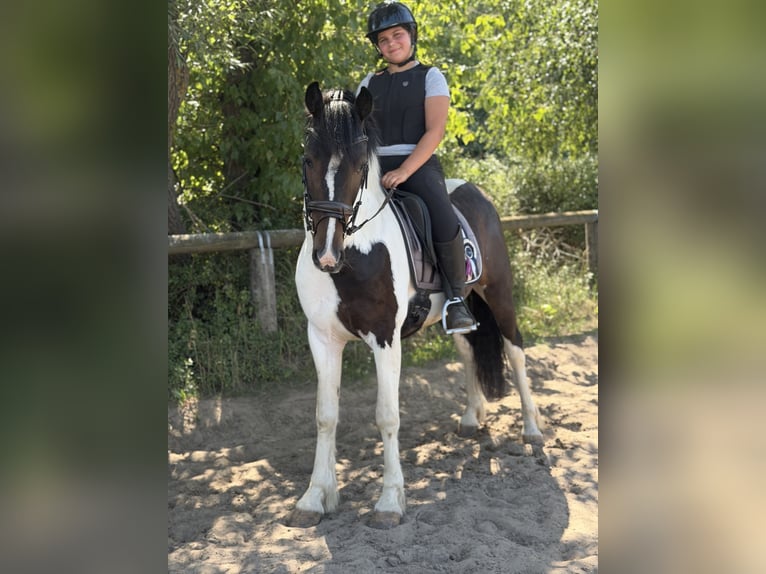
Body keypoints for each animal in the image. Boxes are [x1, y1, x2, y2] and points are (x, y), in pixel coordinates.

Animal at [288, 81, 543, 529]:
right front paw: (315, 497)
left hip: (500, 295)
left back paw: (532, 430)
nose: (326, 255)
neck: (355, 254)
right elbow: (325, 415)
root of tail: (475, 192)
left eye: (360, 165)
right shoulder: (322, 337)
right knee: (468, 350)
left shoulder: (385, 338)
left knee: (515, 350)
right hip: (460, 311)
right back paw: (471, 418)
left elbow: (387, 415)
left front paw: (390, 501)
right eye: (308, 159)